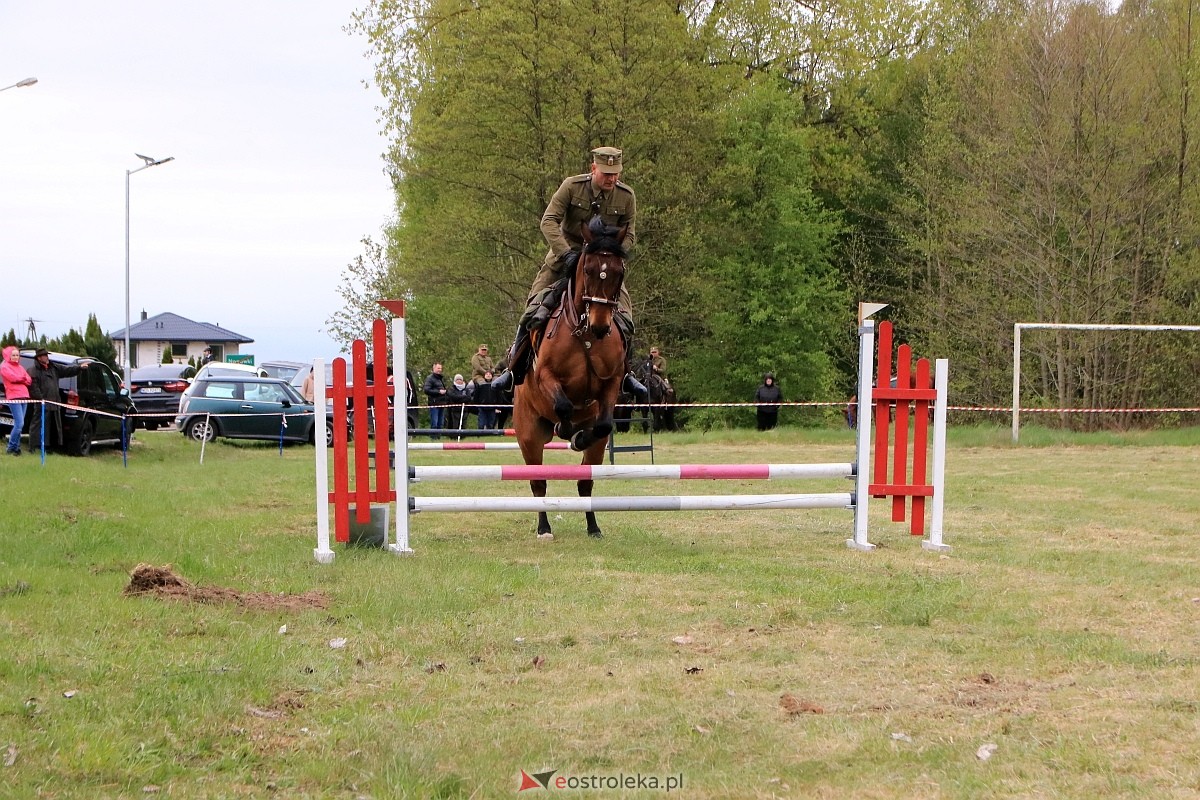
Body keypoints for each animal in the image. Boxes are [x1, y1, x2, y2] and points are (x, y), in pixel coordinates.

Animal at [513, 221, 633, 542]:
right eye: (588, 270)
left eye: (619, 272)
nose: (601, 325)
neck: (585, 333)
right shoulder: (546, 377)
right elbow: (564, 406)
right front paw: (566, 430)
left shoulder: (611, 382)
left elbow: (603, 424)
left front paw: (579, 437)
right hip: (528, 436)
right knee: (538, 483)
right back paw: (544, 528)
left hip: (594, 448)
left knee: (585, 482)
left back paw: (593, 527)